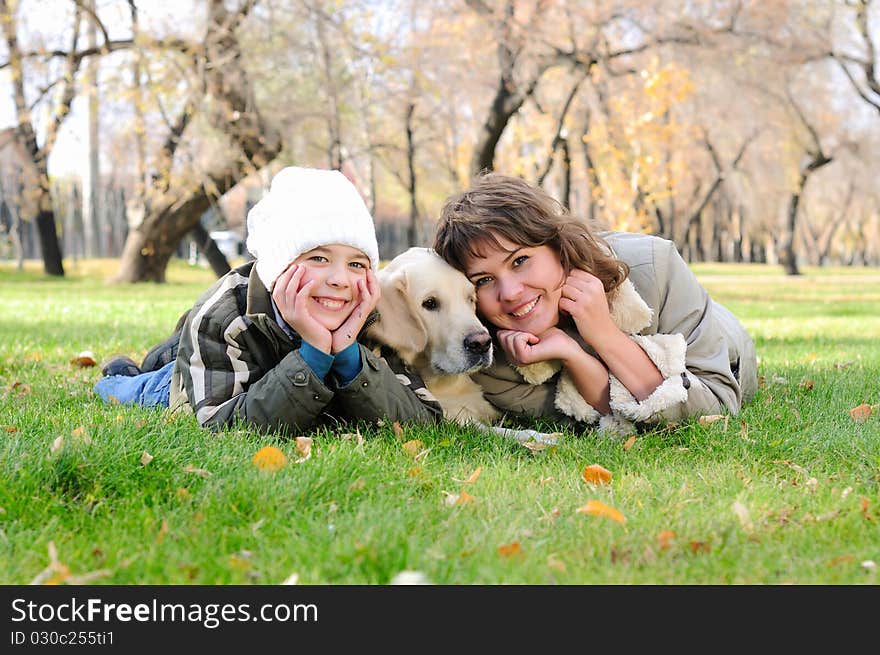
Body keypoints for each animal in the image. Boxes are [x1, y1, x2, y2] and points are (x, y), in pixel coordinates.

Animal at [362, 247, 556, 446]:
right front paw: (540, 438)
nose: (481, 344)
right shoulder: (452, 421)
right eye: (429, 303)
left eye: (470, 298)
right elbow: (495, 431)